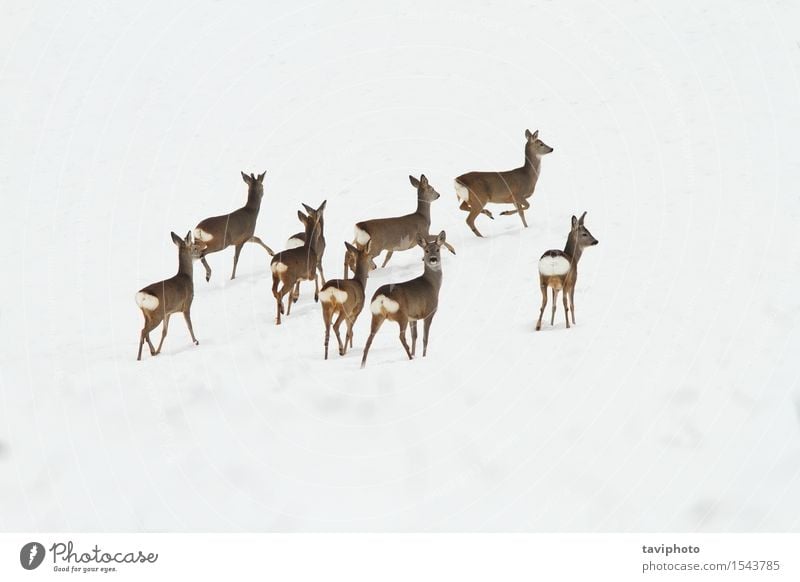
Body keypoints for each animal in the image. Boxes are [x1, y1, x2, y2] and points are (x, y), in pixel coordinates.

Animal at [134, 232, 205, 360]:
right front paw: (195, 341)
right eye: (195, 248)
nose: (203, 254)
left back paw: (153, 351)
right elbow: (189, 325)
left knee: (146, 333)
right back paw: (139, 357)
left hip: (147, 314)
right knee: (143, 332)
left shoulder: (168, 313)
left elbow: (165, 332)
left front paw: (159, 350)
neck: (186, 277)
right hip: (157, 314)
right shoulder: (187, 304)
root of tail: (142, 296)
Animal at [362, 233, 450, 370]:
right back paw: (409, 357)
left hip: (377, 315)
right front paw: (422, 356)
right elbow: (424, 338)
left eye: (437, 249)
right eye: (426, 250)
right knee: (401, 336)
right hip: (400, 314)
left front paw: (415, 354)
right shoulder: (429, 312)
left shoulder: (413, 317)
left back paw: (362, 365)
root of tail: (382, 297)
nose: (433, 259)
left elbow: (415, 336)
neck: (432, 284)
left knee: (369, 339)